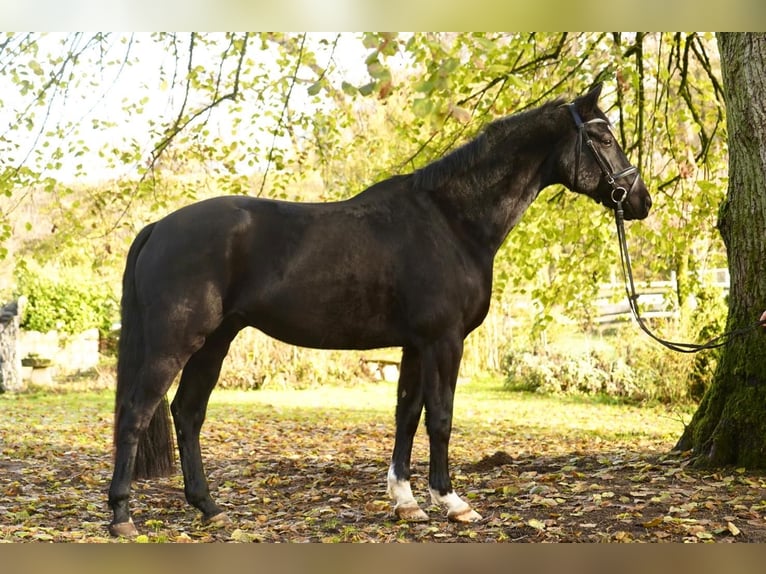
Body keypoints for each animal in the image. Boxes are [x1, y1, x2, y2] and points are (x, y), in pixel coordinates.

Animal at [107, 83, 651, 536]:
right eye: (602, 136)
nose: (640, 200)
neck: (452, 222)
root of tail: (158, 227)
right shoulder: (443, 341)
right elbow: (441, 417)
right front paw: (451, 502)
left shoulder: (413, 345)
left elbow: (406, 415)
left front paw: (405, 501)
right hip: (175, 341)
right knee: (136, 413)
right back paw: (122, 518)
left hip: (216, 340)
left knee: (187, 412)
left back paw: (209, 507)